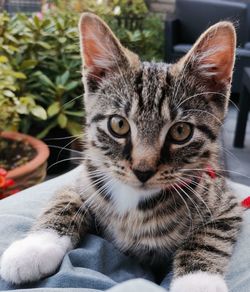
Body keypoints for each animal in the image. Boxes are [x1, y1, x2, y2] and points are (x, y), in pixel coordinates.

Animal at [0, 12, 242, 290]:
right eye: (118, 125)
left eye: (181, 131)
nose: (143, 170)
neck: (134, 202)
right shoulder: (86, 176)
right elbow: (64, 201)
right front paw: (34, 248)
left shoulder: (226, 203)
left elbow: (208, 237)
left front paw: (198, 281)